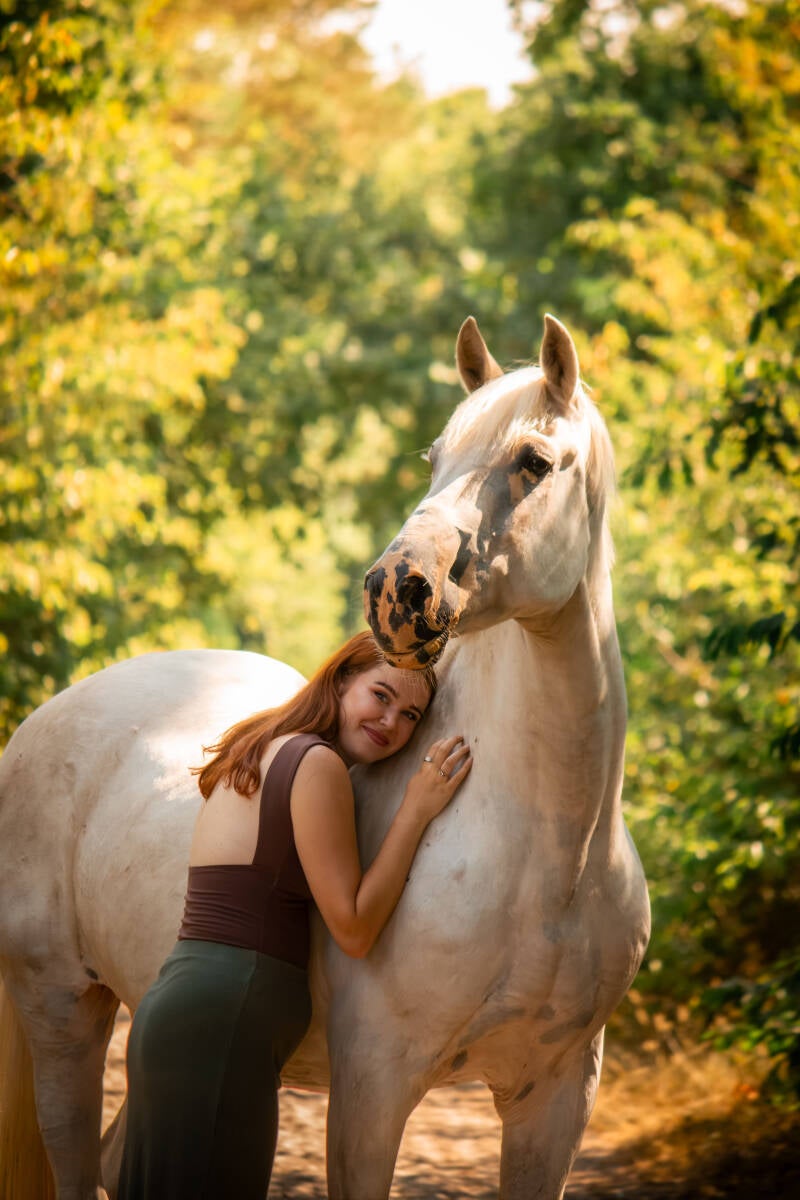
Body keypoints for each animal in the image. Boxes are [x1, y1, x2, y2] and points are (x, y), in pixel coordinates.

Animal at [0, 313, 650, 1200]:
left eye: (534, 462)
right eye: (435, 457)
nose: (397, 588)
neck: (548, 856)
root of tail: (42, 722)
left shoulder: (556, 1097)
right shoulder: (374, 1088)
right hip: (63, 1008)